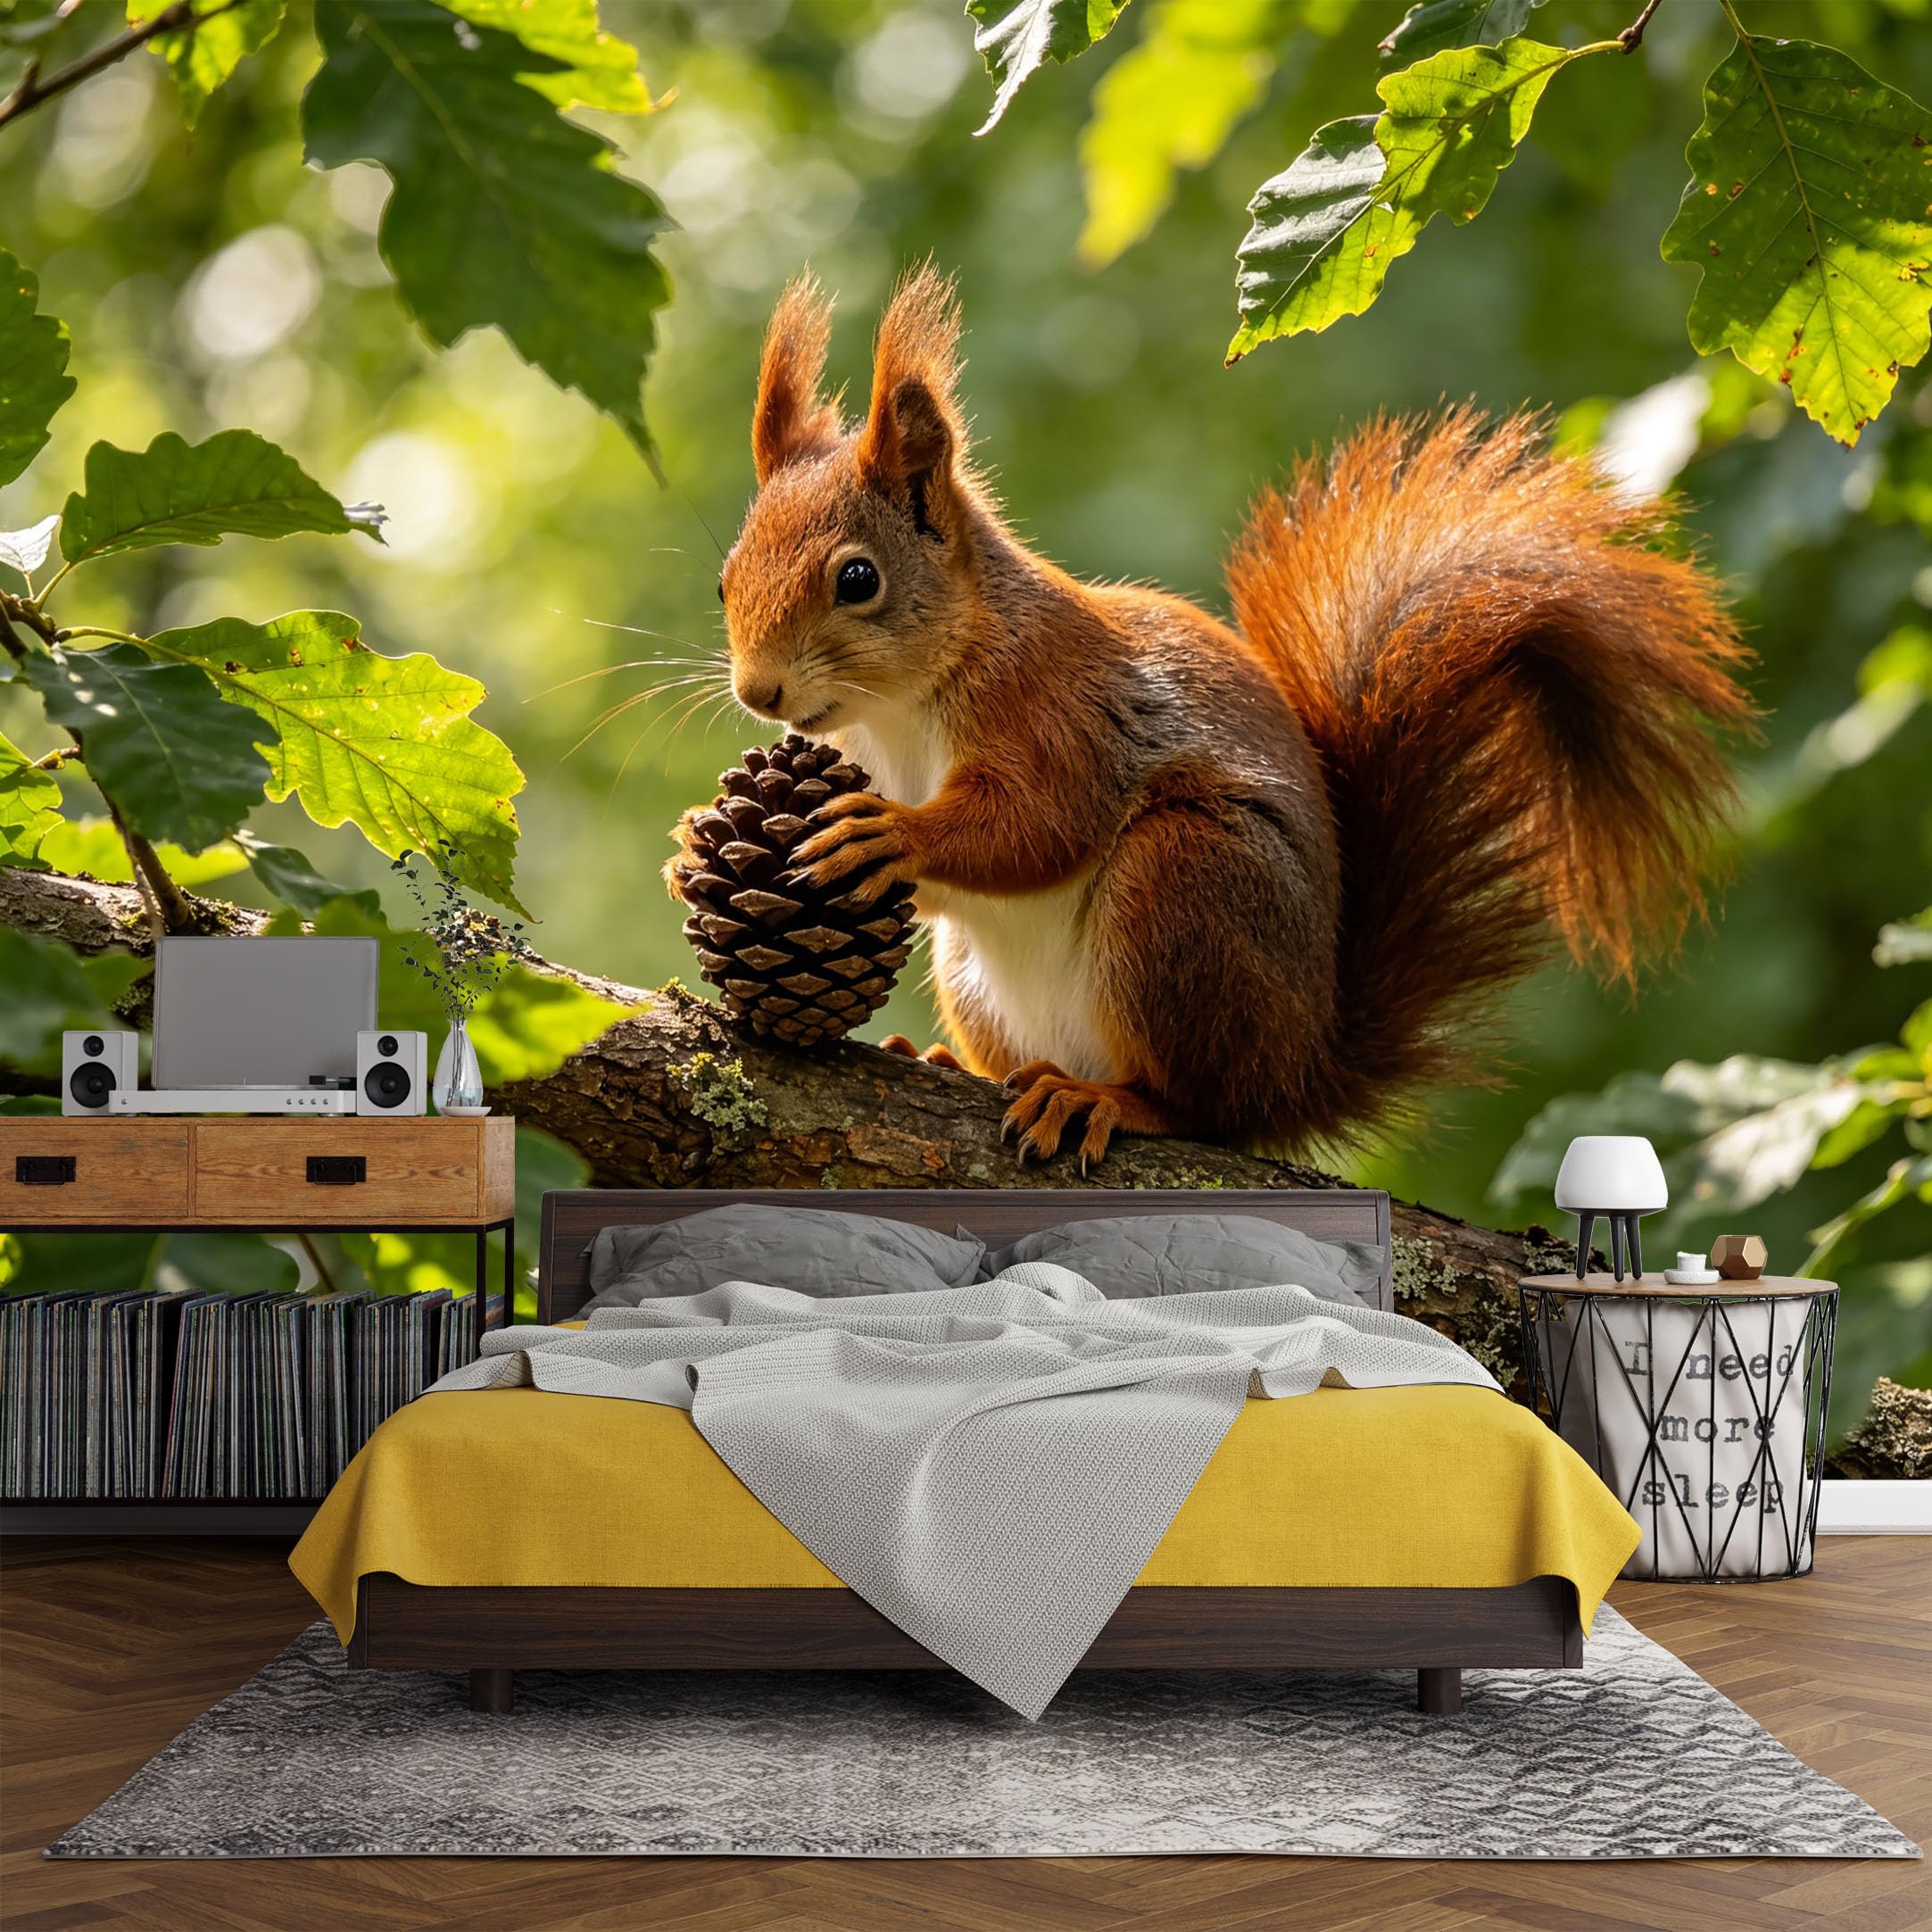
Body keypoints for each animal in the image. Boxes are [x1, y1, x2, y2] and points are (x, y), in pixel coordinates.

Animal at [697, 266, 1752, 1170]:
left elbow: (1037, 823)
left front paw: (894, 833)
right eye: (724, 577)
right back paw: (948, 1061)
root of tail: (1299, 1071)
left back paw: (1104, 1098)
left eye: (857, 579)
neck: (904, 707)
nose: (758, 693)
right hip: (984, 974)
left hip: (1185, 886)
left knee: (1202, 1108)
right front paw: (686, 850)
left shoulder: (1057, 705)